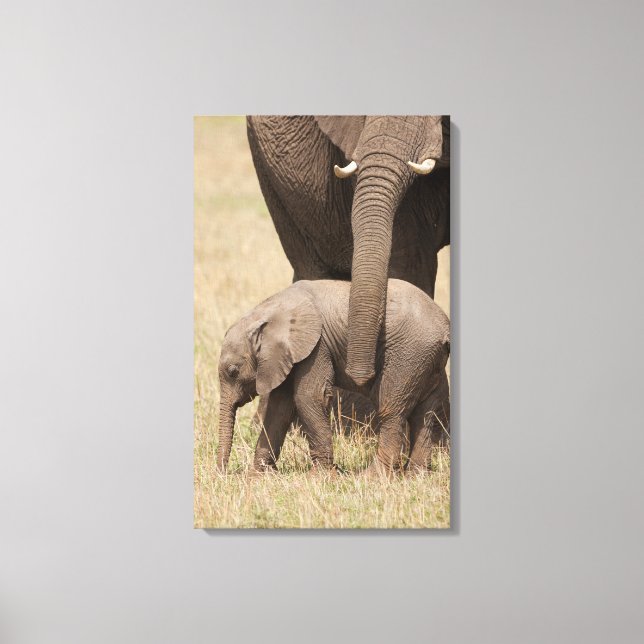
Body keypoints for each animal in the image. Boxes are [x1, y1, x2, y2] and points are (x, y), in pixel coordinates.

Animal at [216, 279, 450, 474]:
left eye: (233, 371)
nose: (223, 474)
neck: (266, 312)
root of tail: (444, 329)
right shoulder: (285, 357)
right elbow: (280, 407)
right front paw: (258, 477)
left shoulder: (316, 347)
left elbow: (309, 397)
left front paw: (319, 477)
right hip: (428, 362)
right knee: (426, 412)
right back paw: (416, 476)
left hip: (408, 356)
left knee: (391, 408)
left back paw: (373, 477)